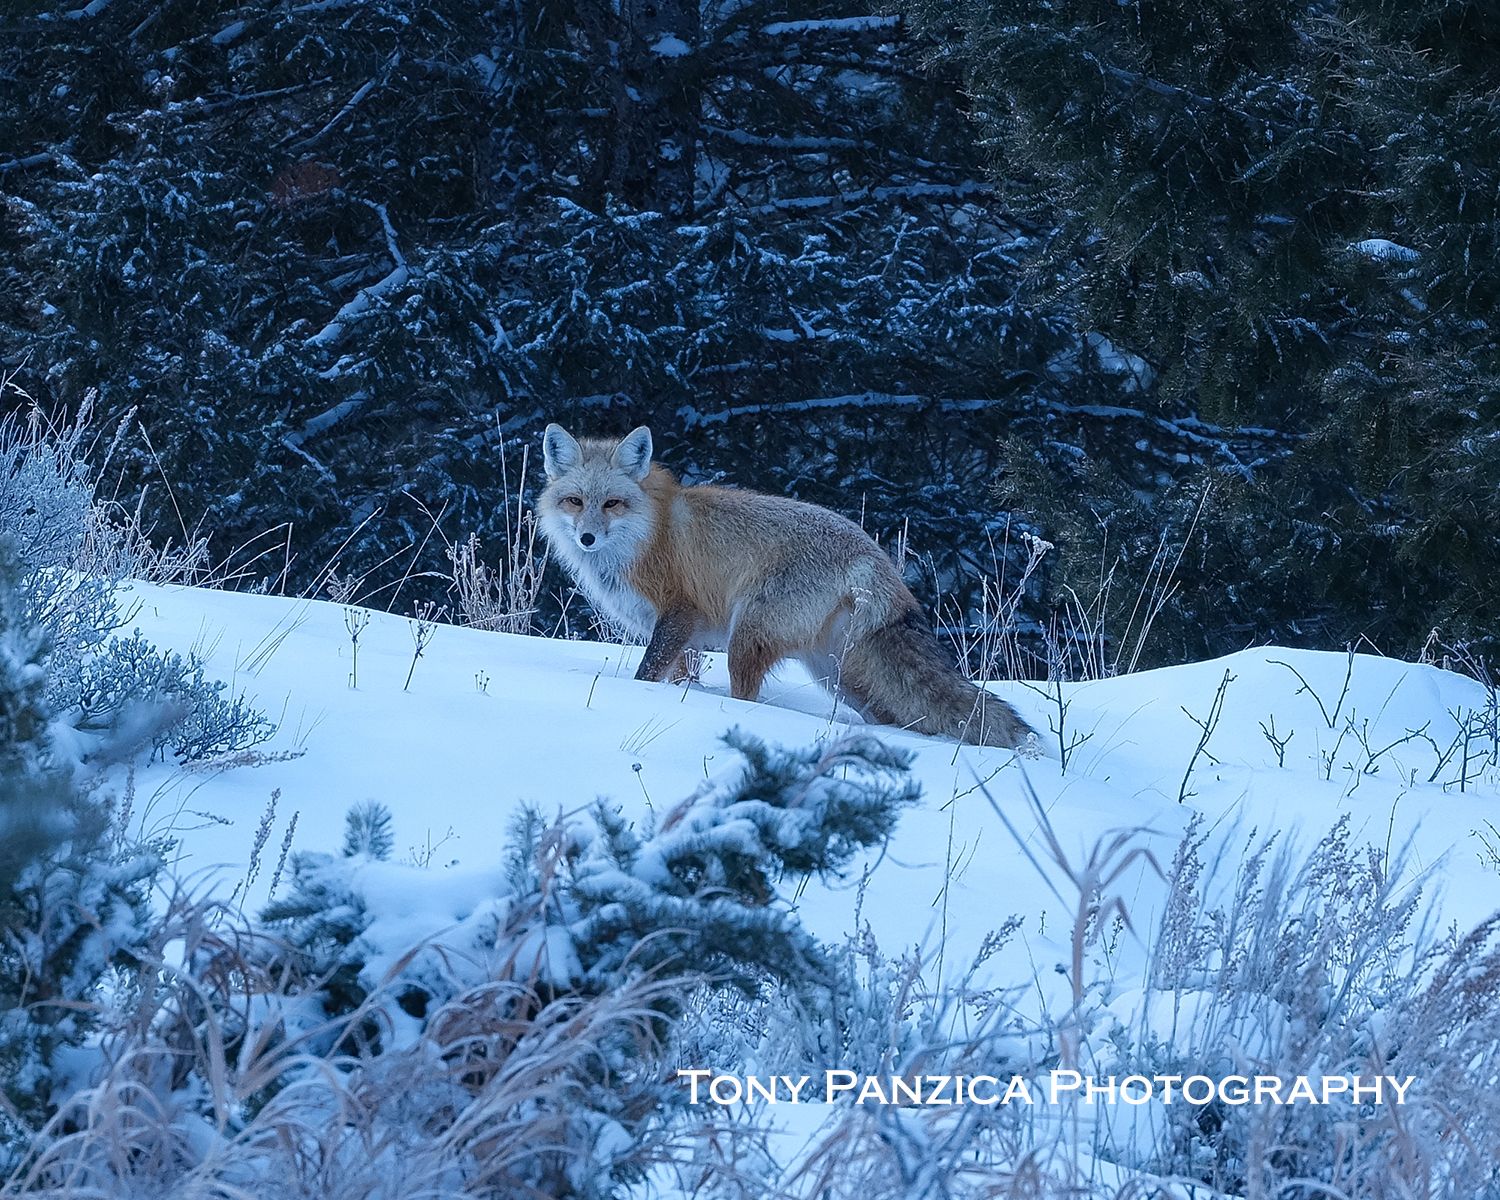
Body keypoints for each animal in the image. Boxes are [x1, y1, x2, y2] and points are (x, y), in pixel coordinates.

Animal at [536, 423, 1034, 749]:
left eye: (612, 504)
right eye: (575, 501)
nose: (586, 537)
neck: (647, 533)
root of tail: (874, 558)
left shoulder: (679, 613)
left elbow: (646, 673)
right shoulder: (684, 639)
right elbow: (673, 678)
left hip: (747, 639)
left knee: (746, 697)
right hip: (838, 676)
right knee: (887, 718)